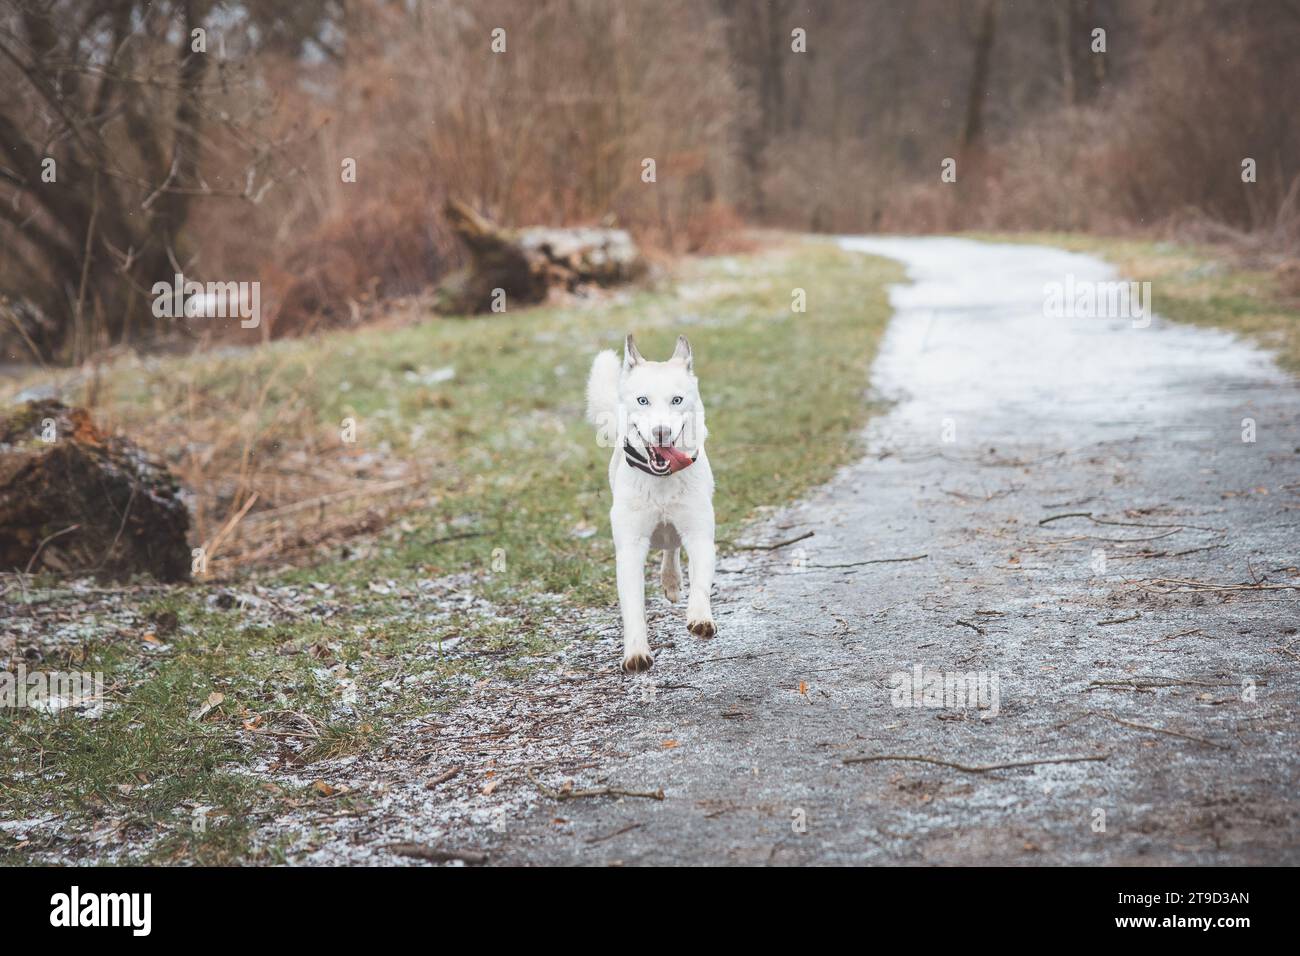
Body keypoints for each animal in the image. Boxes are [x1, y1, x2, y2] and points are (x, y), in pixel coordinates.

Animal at [585, 335, 717, 671]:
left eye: (677, 400)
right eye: (643, 400)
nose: (661, 432)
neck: (662, 480)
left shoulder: (699, 533)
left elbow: (700, 580)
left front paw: (700, 617)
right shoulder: (630, 547)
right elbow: (633, 606)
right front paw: (635, 653)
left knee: (672, 546)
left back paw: (671, 580)